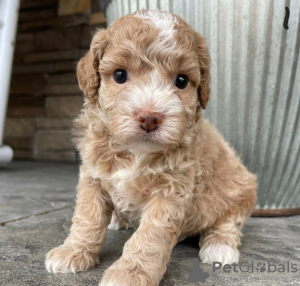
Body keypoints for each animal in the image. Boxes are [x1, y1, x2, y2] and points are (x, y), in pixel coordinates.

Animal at [45, 9, 256, 286]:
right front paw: (72, 252)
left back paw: (219, 247)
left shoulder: (171, 190)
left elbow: (150, 236)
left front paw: (130, 274)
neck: (135, 152)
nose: (149, 118)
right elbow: (87, 217)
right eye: (120, 75)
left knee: (228, 222)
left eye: (181, 80)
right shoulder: (93, 176)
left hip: (239, 189)